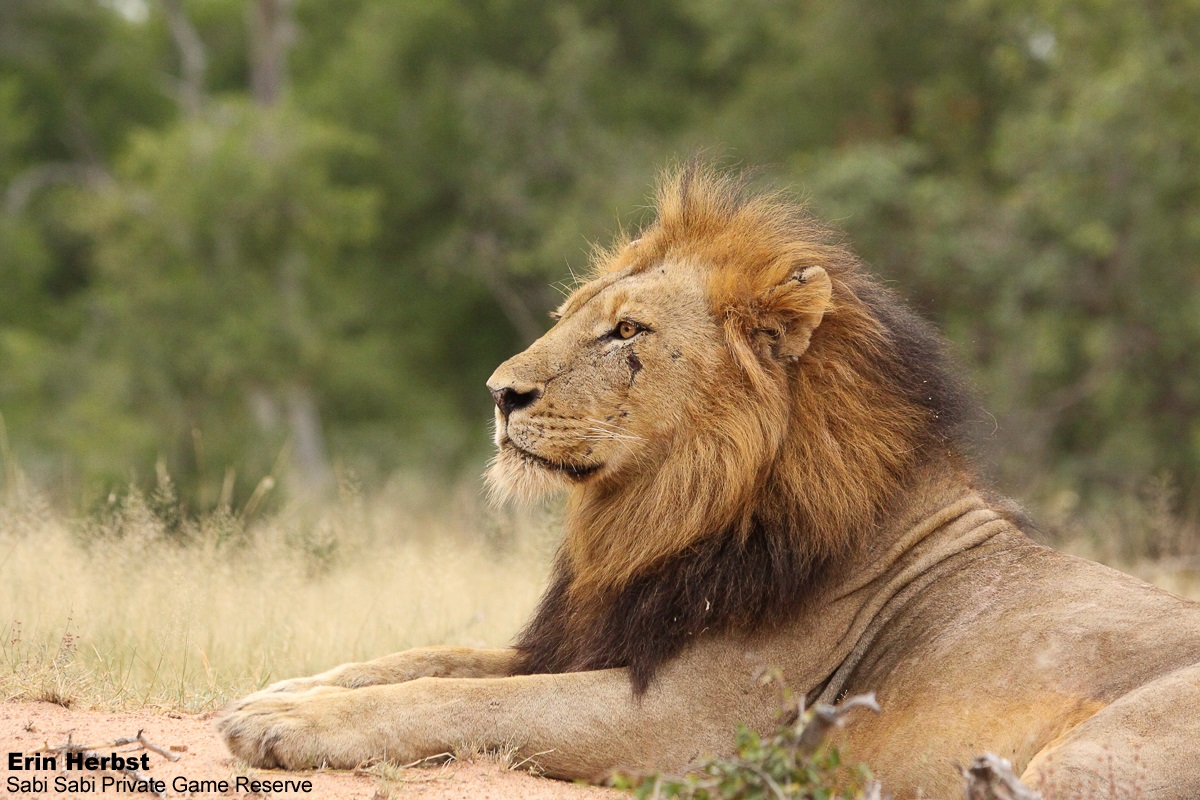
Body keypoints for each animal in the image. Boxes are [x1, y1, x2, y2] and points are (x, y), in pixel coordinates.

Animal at [218, 165, 1200, 798]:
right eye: (570, 317)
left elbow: (465, 696)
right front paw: (278, 693)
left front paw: (290, 728)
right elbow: (430, 657)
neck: (662, 513)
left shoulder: (687, 724)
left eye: (627, 332)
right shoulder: (601, 636)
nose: (499, 394)